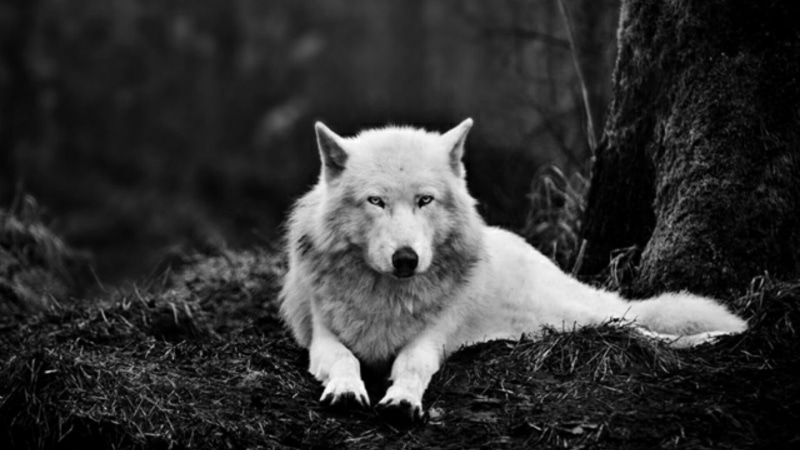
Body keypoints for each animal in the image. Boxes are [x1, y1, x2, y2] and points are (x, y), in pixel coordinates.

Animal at [279, 119, 747, 424]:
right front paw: (346, 389)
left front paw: (403, 401)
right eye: (375, 201)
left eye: (425, 200)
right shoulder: (322, 336)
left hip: (576, 316)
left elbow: (412, 365)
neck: (387, 296)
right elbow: (344, 359)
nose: (406, 259)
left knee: (637, 326)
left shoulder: (431, 338)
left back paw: (716, 337)